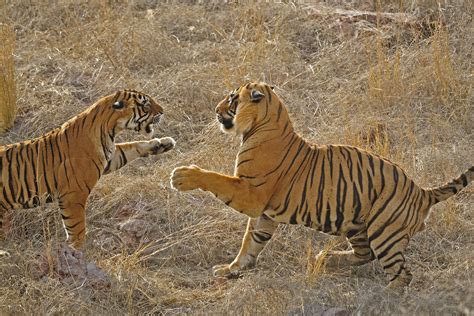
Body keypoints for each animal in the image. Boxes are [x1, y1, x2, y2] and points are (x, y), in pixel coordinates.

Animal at [0, 89, 176, 249]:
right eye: (146, 105)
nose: (163, 111)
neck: (109, 129)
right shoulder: (73, 195)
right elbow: (77, 228)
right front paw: (76, 252)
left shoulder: (110, 157)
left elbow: (132, 146)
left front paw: (164, 143)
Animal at [171, 81, 474, 288]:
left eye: (232, 99)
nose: (216, 109)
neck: (264, 123)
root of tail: (422, 191)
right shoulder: (264, 213)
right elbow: (251, 242)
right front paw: (233, 268)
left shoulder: (251, 193)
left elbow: (216, 179)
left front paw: (183, 175)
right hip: (357, 224)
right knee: (365, 254)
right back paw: (327, 259)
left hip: (385, 231)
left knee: (402, 274)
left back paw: (386, 293)